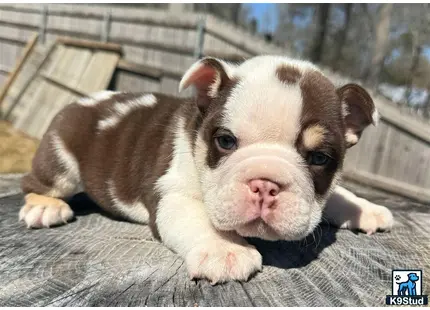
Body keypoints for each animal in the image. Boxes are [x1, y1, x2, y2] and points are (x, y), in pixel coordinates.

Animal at [17, 55, 394, 284]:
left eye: (319, 159)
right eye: (225, 141)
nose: (265, 185)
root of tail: (83, 100)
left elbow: (338, 193)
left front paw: (365, 208)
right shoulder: (172, 193)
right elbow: (199, 217)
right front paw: (225, 249)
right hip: (61, 160)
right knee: (35, 182)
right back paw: (44, 206)